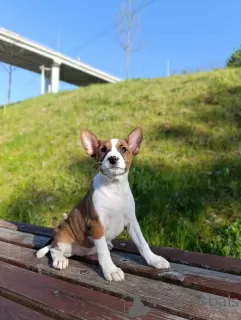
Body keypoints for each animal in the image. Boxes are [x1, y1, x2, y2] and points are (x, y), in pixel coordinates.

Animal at [36, 126, 170, 282]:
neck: (113, 187)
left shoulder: (132, 222)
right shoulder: (96, 224)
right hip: (63, 236)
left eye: (123, 149)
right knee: (54, 249)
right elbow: (104, 252)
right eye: (103, 149)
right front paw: (111, 270)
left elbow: (142, 243)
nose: (113, 158)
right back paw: (60, 260)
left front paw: (154, 259)